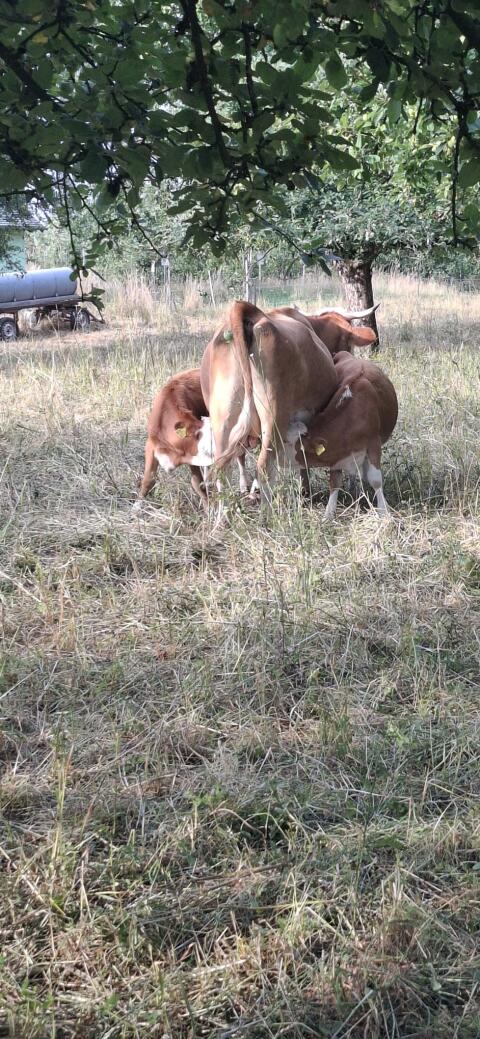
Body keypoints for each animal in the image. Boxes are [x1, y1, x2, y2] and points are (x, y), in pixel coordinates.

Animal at [133, 367, 251, 511]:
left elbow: (197, 483)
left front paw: (208, 509)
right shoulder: (151, 445)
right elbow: (148, 479)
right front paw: (137, 507)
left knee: (241, 458)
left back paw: (243, 486)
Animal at [287, 352, 398, 519]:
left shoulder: (374, 443)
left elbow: (375, 479)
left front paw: (384, 511)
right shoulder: (336, 451)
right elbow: (335, 481)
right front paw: (328, 513)